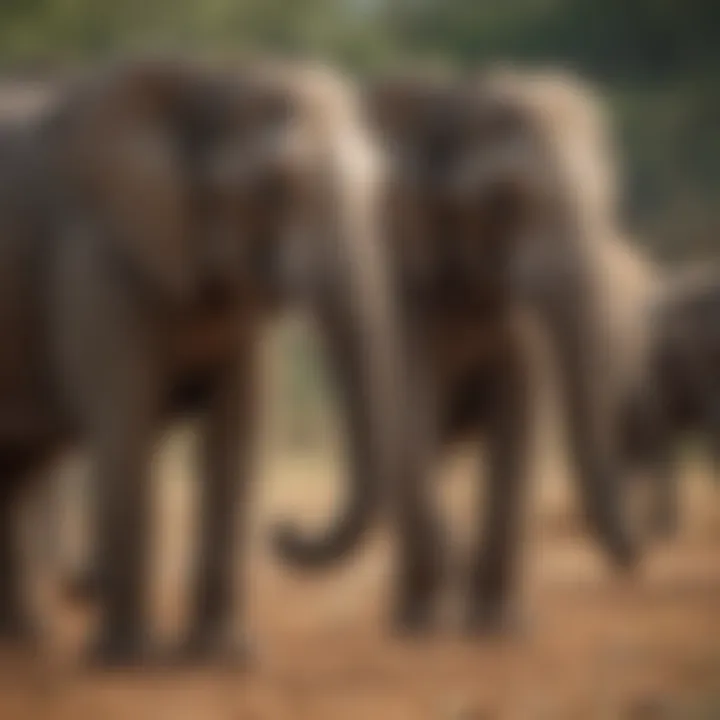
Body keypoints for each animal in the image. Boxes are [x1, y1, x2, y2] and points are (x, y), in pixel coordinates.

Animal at [0, 57, 405, 667]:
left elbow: (235, 433)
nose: (283, 530)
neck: (208, 84)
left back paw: (26, 641)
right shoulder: (95, 259)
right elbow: (127, 424)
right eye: (274, 186)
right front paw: (129, 664)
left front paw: (224, 659)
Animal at [270, 67, 661, 634]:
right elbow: (410, 412)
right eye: (506, 198)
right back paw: (415, 618)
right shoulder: (400, 280)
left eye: (608, 194)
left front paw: (500, 630)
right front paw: (451, 604)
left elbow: (518, 412)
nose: (280, 527)